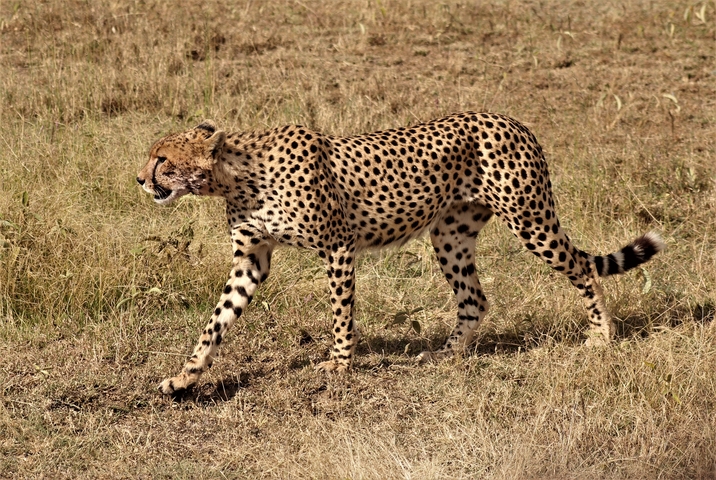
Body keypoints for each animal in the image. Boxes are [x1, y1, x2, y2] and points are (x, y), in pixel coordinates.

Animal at [137, 112, 664, 395]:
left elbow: (341, 314)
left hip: (530, 220)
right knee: (475, 299)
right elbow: (216, 322)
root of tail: (511, 119)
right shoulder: (251, 261)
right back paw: (446, 354)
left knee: (582, 268)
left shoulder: (338, 246)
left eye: (162, 158)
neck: (236, 176)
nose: (140, 179)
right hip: (450, 236)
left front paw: (339, 364)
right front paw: (185, 377)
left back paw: (601, 334)